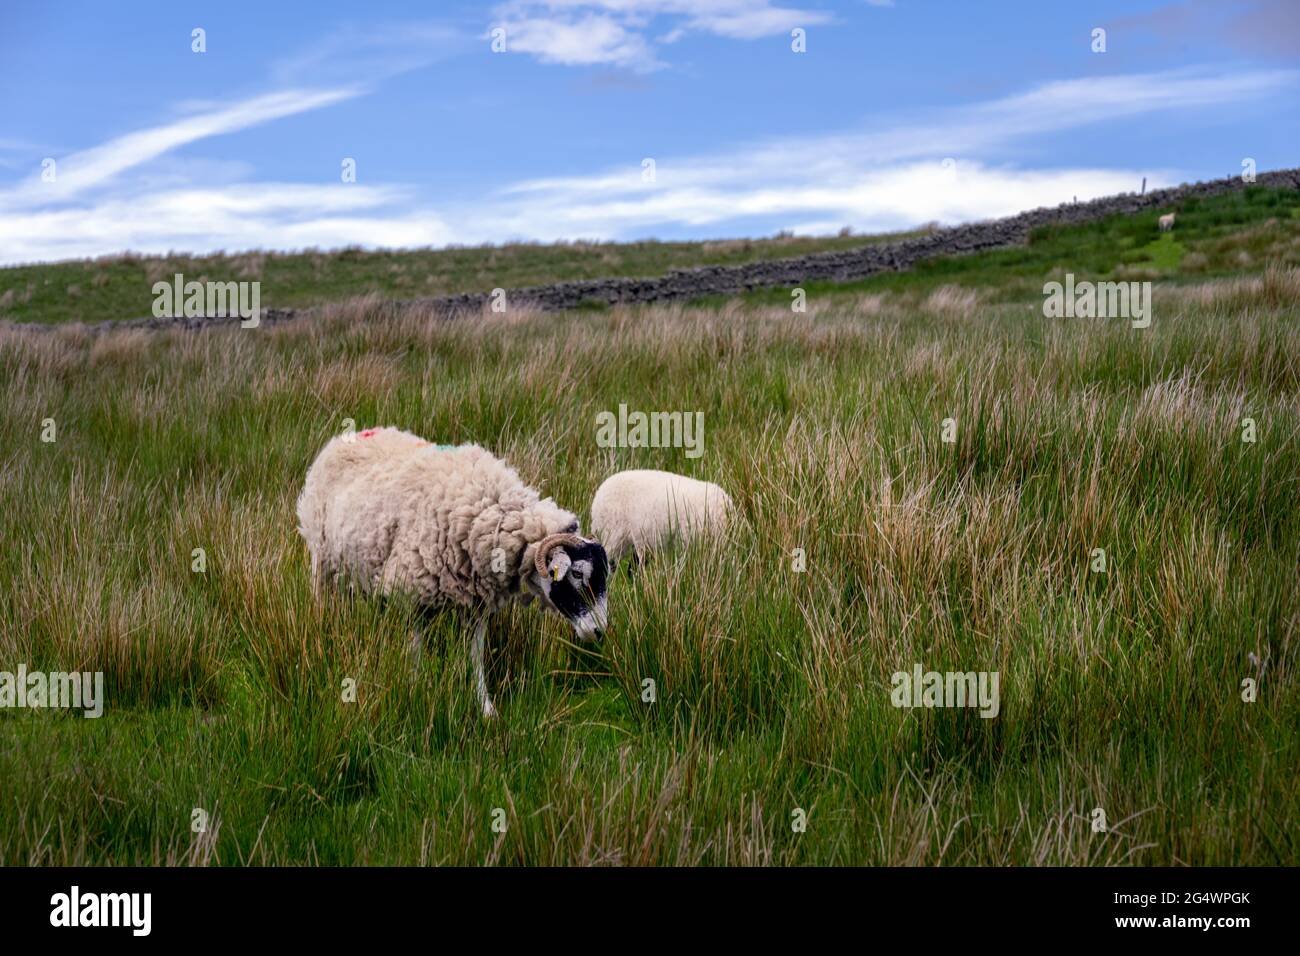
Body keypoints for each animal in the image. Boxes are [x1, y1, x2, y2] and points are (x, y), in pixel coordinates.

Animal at [299, 429, 608, 717]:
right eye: (577, 574)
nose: (599, 632)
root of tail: (346, 436)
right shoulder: (412, 594)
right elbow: (415, 653)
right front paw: (414, 691)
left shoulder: (477, 606)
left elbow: (475, 658)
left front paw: (486, 709)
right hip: (321, 560)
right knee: (321, 599)